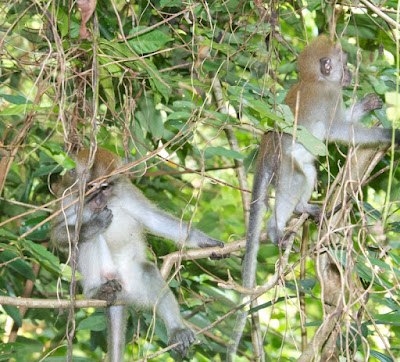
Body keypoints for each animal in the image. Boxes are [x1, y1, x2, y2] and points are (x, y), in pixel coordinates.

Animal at [50, 148, 225, 362]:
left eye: (105, 188)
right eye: (91, 187)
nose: (98, 201)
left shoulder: (127, 191)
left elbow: (153, 218)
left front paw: (204, 241)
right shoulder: (67, 197)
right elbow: (58, 234)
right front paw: (93, 224)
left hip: (133, 285)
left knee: (148, 271)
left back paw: (177, 330)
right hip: (105, 273)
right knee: (87, 241)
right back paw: (95, 290)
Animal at [228, 35, 400, 358]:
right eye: (342, 63)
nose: (349, 74)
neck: (315, 79)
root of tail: (267, 146)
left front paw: (366, 104)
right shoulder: (329, 97)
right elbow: (340, 131)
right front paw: (390, 135)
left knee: (308, 170)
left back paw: (303, 208)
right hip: (283, 164)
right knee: (298, 176)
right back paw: (276, 228)